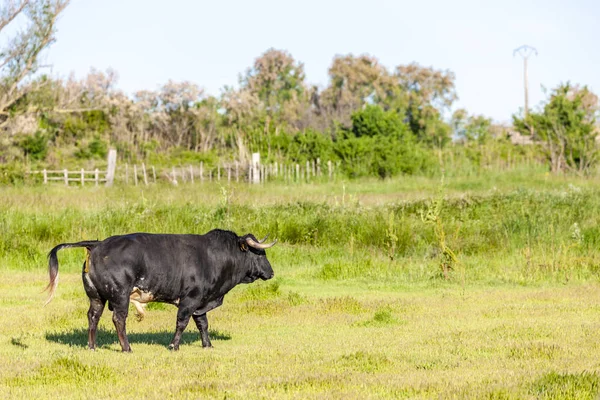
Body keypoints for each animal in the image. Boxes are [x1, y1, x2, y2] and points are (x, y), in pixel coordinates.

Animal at [44, 230, 276, 352]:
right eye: (259, 253)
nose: (271, 272)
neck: (214, 257)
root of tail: (98, 244)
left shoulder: (201, 301)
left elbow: (202, 323)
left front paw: (207, 345)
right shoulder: (190, 299)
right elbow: (182, 322)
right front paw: (174, 345)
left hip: (96, 296)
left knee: (93, 316)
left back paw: (91, 346)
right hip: (120, 295)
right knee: (118, 319)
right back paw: (127, 347)